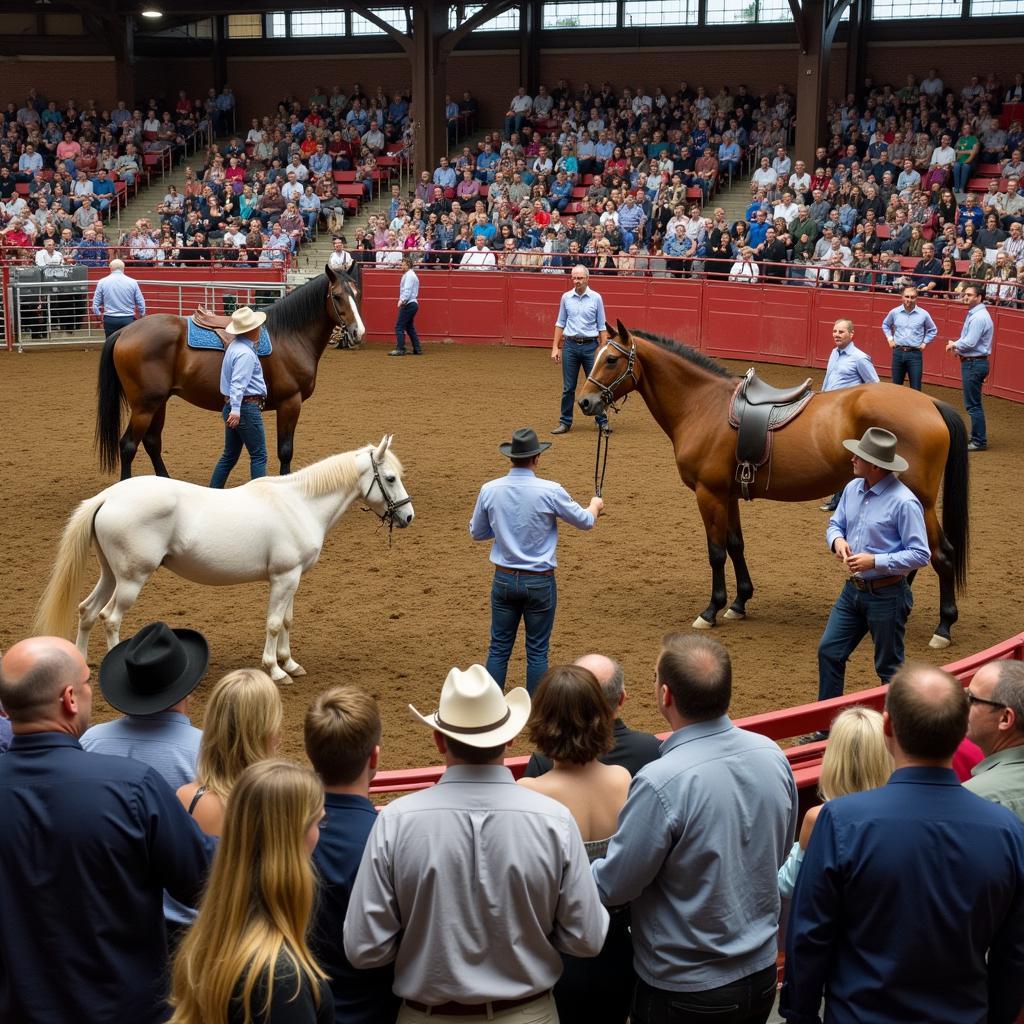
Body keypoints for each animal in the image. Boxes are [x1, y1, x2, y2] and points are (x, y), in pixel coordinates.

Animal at [36, 438, 411, 684]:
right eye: (390, 478)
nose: (408, 516)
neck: (299, 503)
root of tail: (107, 497)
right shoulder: (283, 578)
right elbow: (274, 623)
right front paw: (275, 670)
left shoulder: (293, 578)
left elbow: (287, 621)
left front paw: (290, 664)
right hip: (131, 580)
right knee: (109, 618)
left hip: (110, 575)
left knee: (86, 611)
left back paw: (83, 666)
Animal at [93, 266, 364, 477]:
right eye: (337, 296)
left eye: (356, 293)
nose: (357, 332)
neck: (289, 335)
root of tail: (125, 332)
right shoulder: (290, 402)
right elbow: (285, 450)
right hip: (144, 406)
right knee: (128, 446)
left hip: (158, 403)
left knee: (151, 442)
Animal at [585, 321, 966, 647]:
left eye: (612, 359)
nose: (586, 402)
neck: (702, 405)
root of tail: (930, 403)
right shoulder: (728, 495)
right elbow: (736, 545)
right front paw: (739, 602)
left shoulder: (709, 494)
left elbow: (716, 552)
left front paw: (711, 610)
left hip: (921, 501)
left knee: (941, 555)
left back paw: (944, 627)